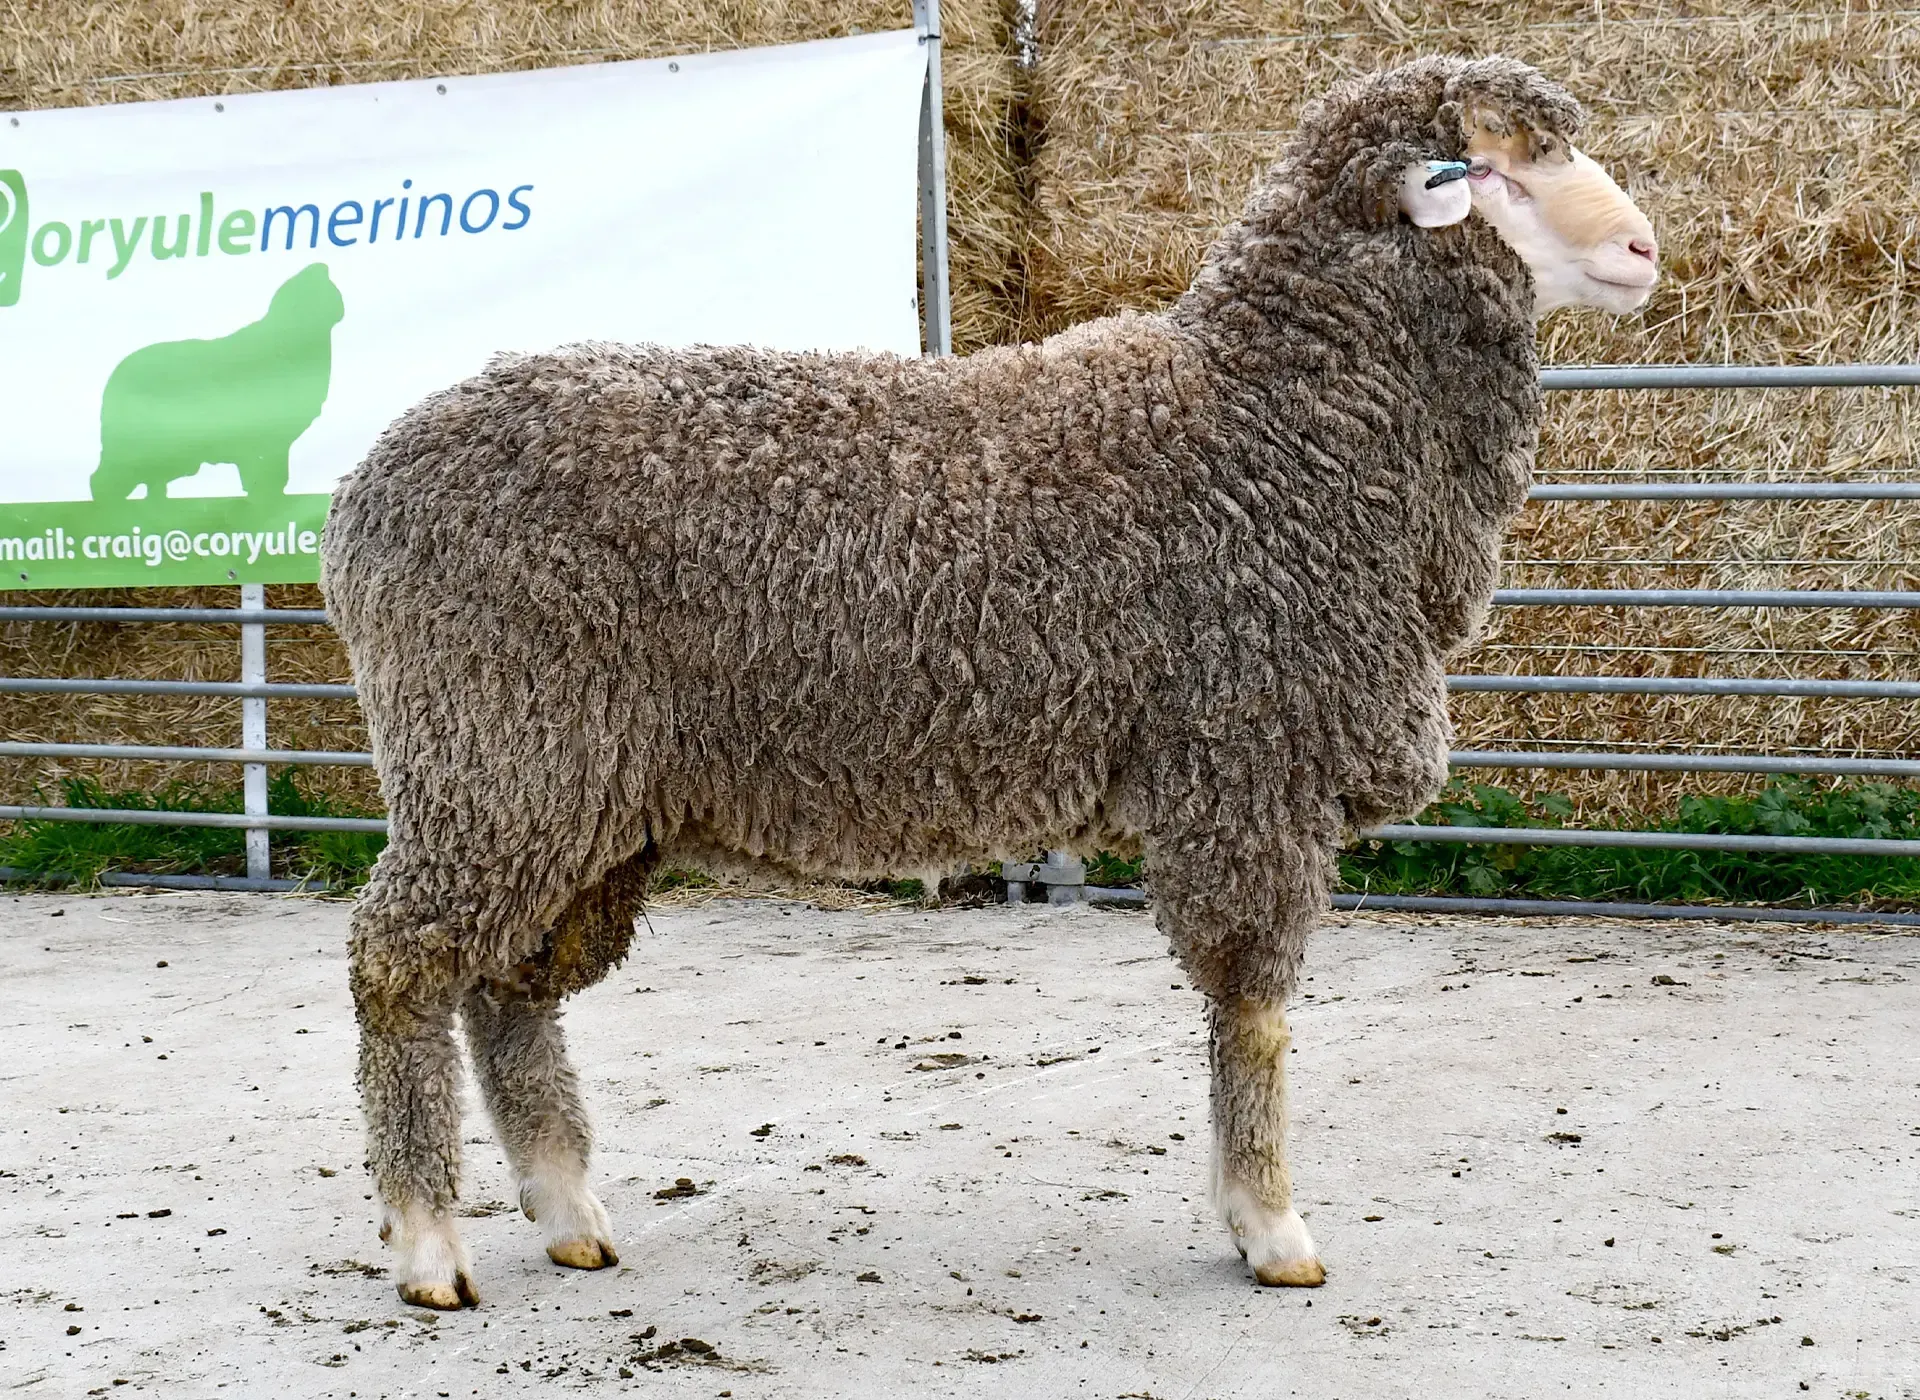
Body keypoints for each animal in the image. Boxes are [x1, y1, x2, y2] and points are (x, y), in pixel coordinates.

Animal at [321, 54, 1657, 1309]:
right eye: (1497, 168)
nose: (1643, 249)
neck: (1276, 422)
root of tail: (364, 493)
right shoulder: (1248, 762)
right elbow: (1256, 1008)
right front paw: (1271, 1227)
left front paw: (1255, 1214)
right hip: (497, 750)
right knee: (400, 961)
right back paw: (428, 1243)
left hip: (573, 793)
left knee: (508, 982)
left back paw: (566, 1211)